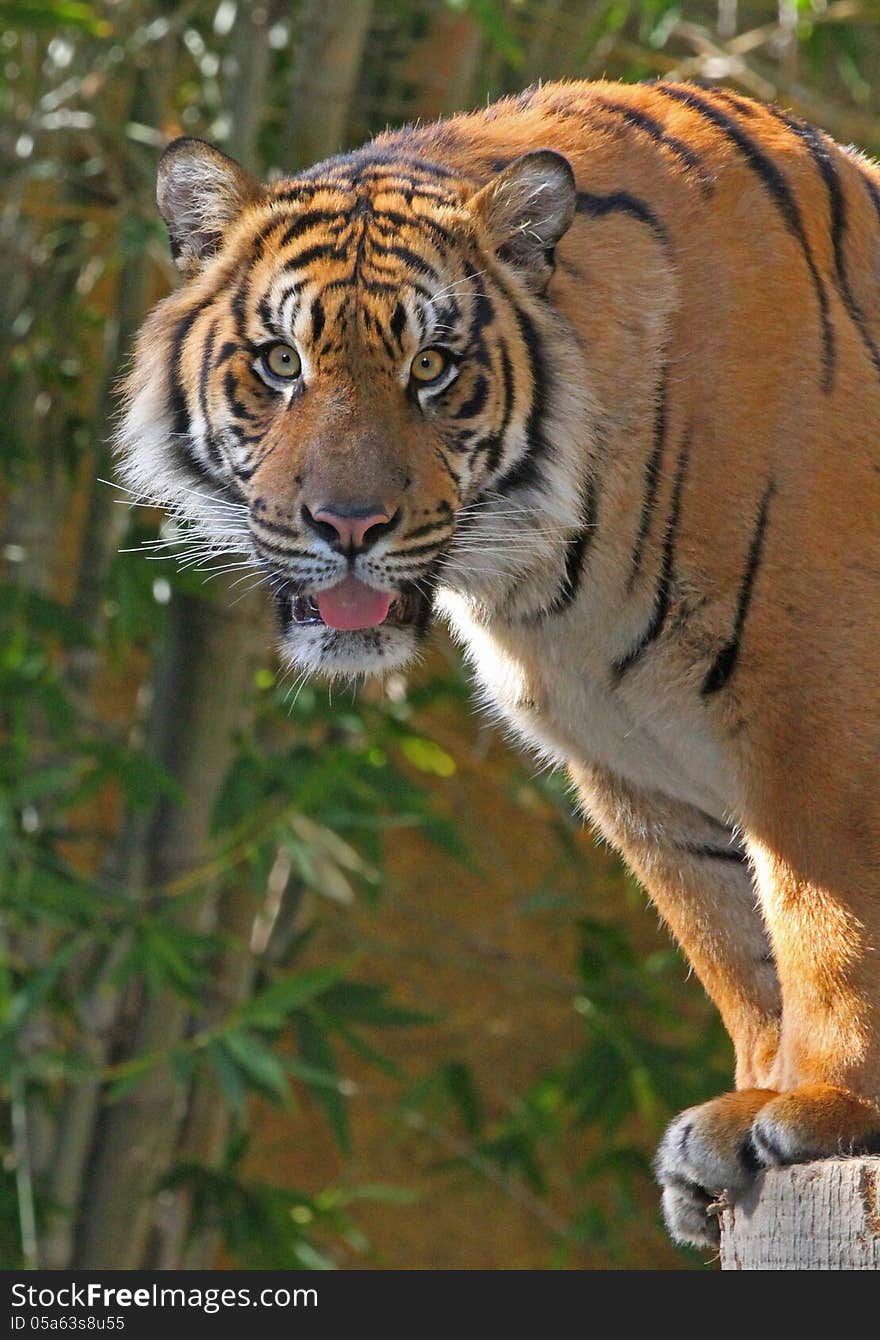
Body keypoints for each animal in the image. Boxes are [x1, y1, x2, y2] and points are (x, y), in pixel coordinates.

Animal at [118, 78, 880, 1248]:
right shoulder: (634, 763)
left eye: (431, 369)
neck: (554, 574)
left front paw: (820, 1107)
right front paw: (746, 1103)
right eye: (282, 364)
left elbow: (826, 921)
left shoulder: (816, 706)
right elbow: (735, 943)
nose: (347, 525)